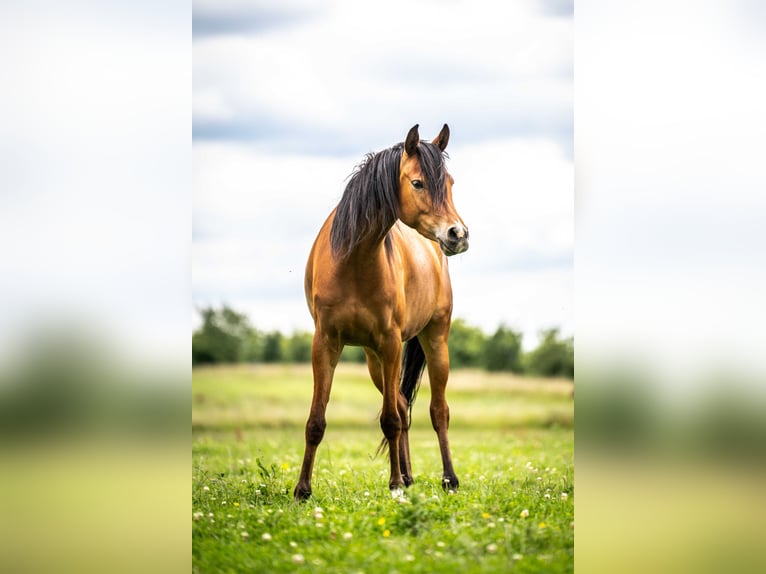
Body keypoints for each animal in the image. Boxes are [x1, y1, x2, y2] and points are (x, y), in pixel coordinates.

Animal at [296, 124, 472, 502]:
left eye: (450, 182)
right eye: (418, 183)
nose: (458, 234)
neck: (353, 260)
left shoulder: (390, 343)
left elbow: (390, 420)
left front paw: (393, 485)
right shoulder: (325, 343)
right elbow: (316, 420)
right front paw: (302, 489)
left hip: (434, 340)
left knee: (437, 411)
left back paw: (447, 478)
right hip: (372, 358)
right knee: (404, 405)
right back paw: (407, 475)